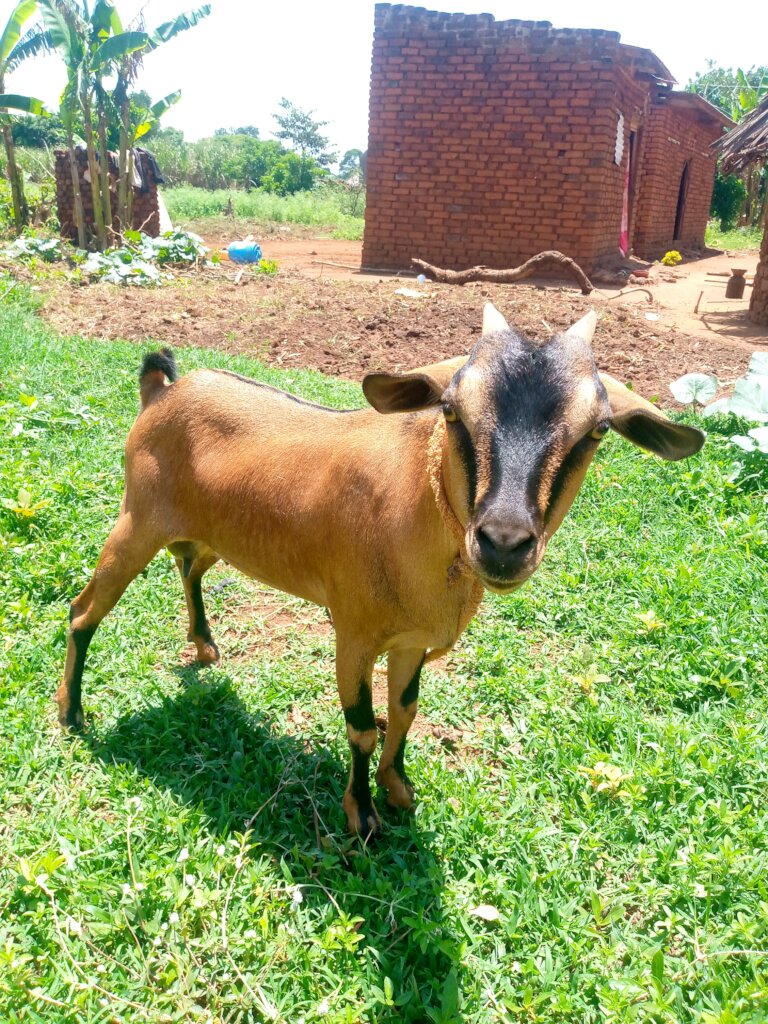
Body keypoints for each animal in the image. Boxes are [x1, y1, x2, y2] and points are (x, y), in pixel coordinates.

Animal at [57, 305, 704, 837]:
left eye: (598, 430)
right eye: (450, 411)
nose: (502, 542)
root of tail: (161, 393)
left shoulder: (411, 641)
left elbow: (405, 711)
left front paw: (399, 789)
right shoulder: (353, 633)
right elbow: (363, 727)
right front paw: (362, 816)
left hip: (211, 533)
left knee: (189, 564)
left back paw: (204, 645)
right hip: (136, 519)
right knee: (83, 609)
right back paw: (72, 713)